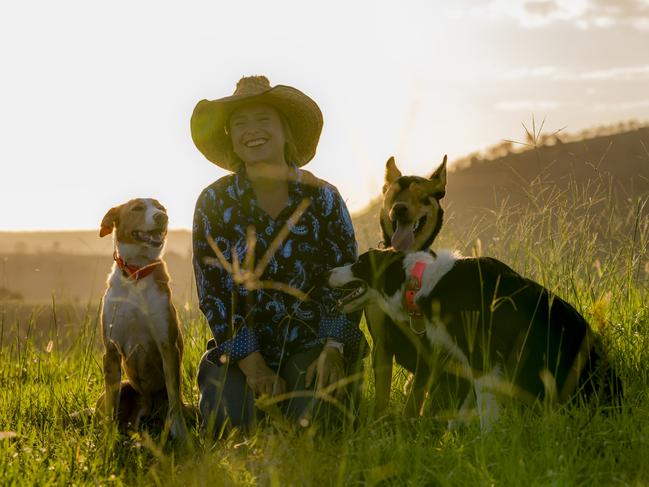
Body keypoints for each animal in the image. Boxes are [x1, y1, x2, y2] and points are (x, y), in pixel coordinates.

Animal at [95, 198, 190, 442]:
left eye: (161, 208)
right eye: (137, 208)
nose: (162, 217)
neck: (136, 274)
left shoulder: (168, 346)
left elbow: (174, 397)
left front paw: (180, 433)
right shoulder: (111, 350)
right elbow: (111, 404)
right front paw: (108, 439)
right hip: (124, 387)